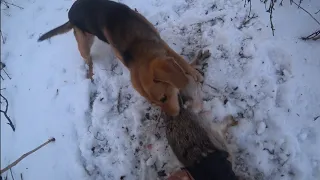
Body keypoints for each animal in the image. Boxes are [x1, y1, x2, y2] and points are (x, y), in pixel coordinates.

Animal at [38, 0, 202, 116]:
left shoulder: (161, 43)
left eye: (163, 98)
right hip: (84, 44)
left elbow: (180, 60)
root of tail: (70, 12)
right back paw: (90, 74)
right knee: (88, 60)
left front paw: (194, 73)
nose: (175, 116)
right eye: (156, 103)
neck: (135, 43)